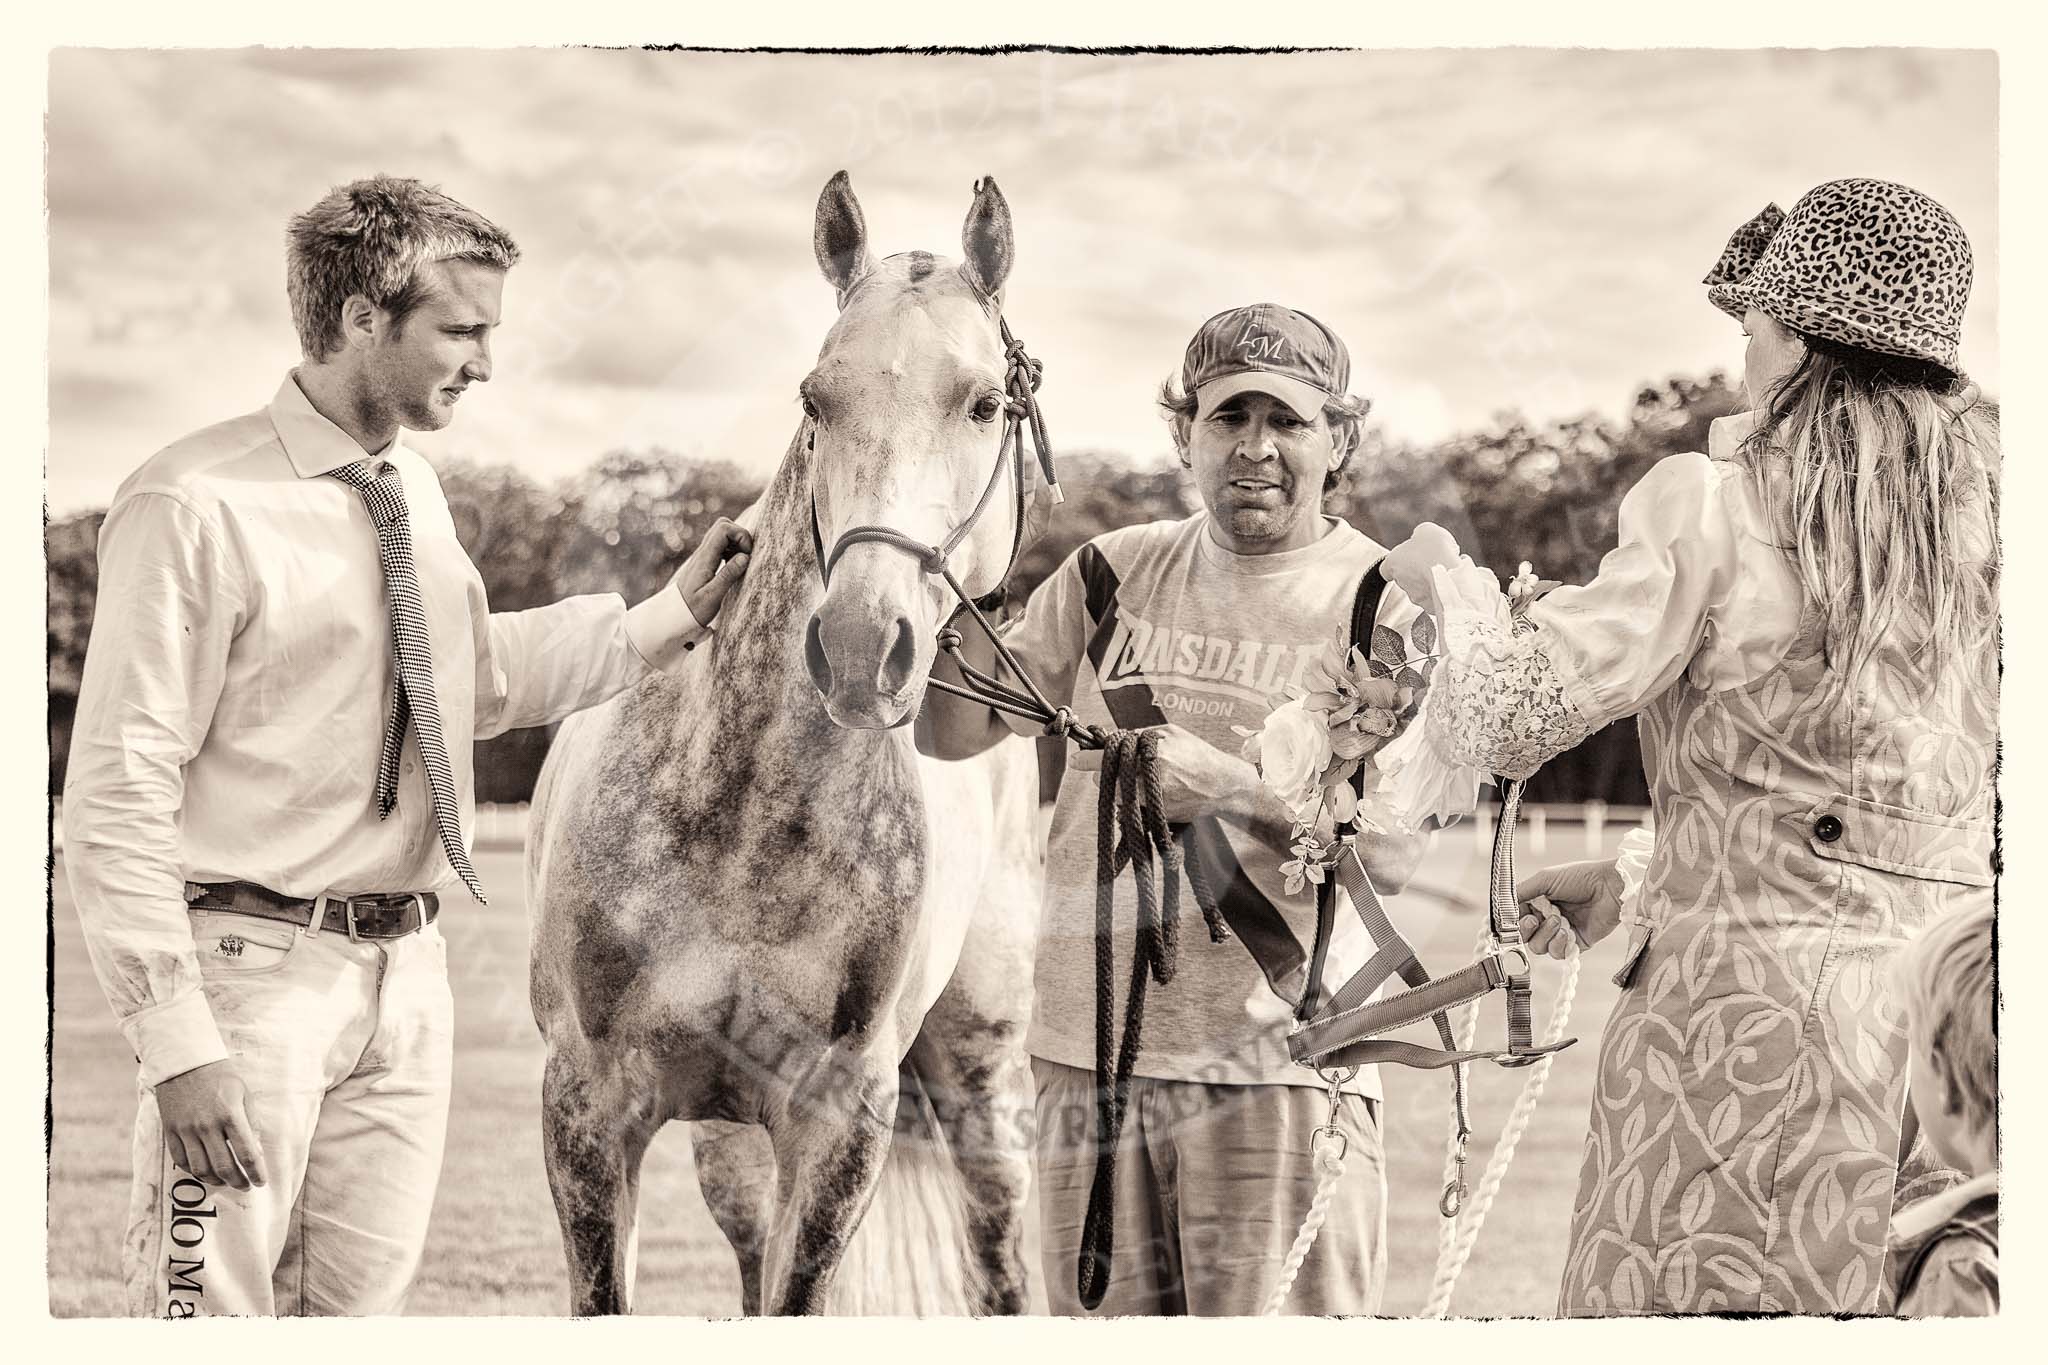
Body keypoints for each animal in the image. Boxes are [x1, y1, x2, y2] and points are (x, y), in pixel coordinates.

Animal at [528, 170, 1040, 1309]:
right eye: (815, 400)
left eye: (985, 402)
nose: (858, 643)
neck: (743, 816)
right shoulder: (589, 1109)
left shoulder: (840, 1121)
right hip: (728, 1146)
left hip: (982, 1080)